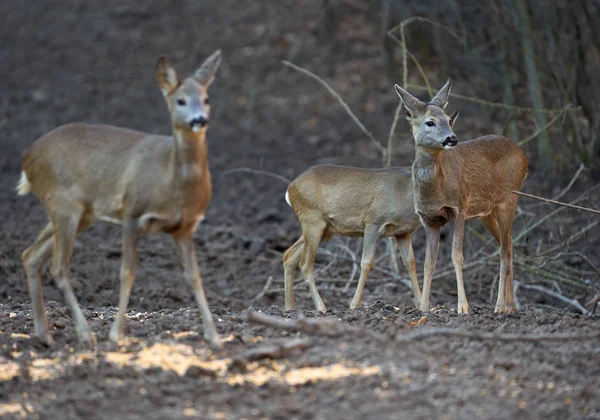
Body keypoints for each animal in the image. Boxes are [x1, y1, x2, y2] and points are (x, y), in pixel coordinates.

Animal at [19, 50, 225, 350]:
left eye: (207, 98)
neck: (171, 182)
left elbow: (195, 278)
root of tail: (27, 159)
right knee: (58, 267)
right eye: (180, 100)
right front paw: (116, 334)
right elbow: (127, 272)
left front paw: (214, 336)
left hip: (80, 212)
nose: (199, 119)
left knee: (31, 255)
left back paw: (44, 334)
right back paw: (85, 333)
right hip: (62, 202)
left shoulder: (185, 228)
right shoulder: (132, 211)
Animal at [282, 164, 420, 312]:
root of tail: (290, 188)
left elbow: (410, 263)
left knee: (289, 255)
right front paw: (354, 305)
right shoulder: (373, 222)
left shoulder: (403, 233)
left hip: (325, 228)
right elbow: (366, 262)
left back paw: (290, 307)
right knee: (305, 264)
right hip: (312, 219)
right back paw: (321, 308)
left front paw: (421, 304)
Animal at [394, 79, 528, 316]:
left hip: (509, 199)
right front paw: (423, 308)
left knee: (504, 250)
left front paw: (463, 307)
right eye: (430, 122)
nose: (452, 138)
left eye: (449, 120)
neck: (435, 191)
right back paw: (511, 306)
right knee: (510, 243)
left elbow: (457, 256)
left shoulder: (459, 210)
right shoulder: (429, 220)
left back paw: (499, 306)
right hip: (487, 212)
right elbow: (428, 262)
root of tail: (524, 156)